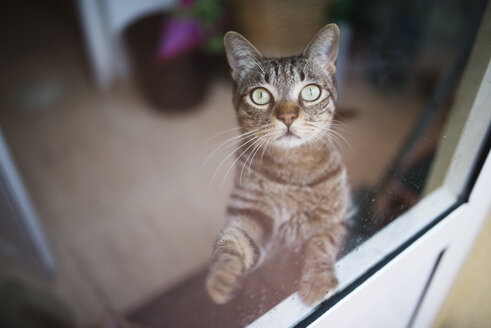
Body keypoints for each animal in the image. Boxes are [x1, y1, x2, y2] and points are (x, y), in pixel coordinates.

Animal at [206, 25, 352, 304]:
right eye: (260, 95)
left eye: (310, 91)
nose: (287, 116)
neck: (291, 169)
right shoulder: (249, 212)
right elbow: (232, 241)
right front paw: (221, 275)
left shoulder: (336, 216)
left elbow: (322, 242)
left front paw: (318, 281)